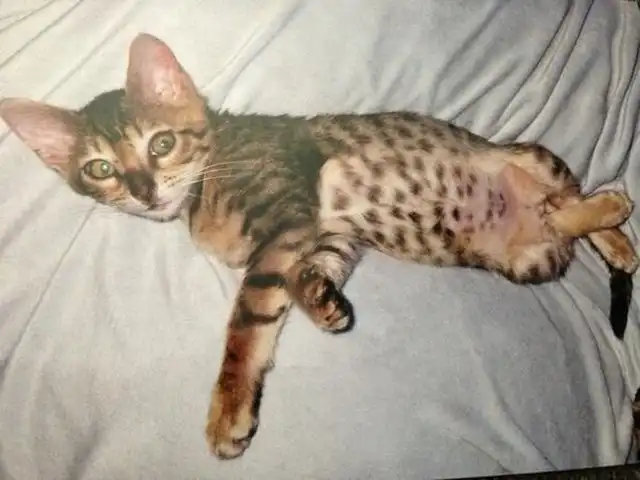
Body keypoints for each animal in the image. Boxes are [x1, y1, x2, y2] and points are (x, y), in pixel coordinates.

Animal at [1, 33, 637, 460]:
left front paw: (229, 408)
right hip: (528, 262)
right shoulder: (328, 233)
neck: (208, 180)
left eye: (160, 144)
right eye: (100, 169)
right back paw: (608, 233)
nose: (143, 191)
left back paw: (613, 213)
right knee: (561, 221)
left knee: (567, 198)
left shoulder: (286, 219)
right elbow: (308, 273)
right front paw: (321, 300)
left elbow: (247, 322)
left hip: (530, 156)